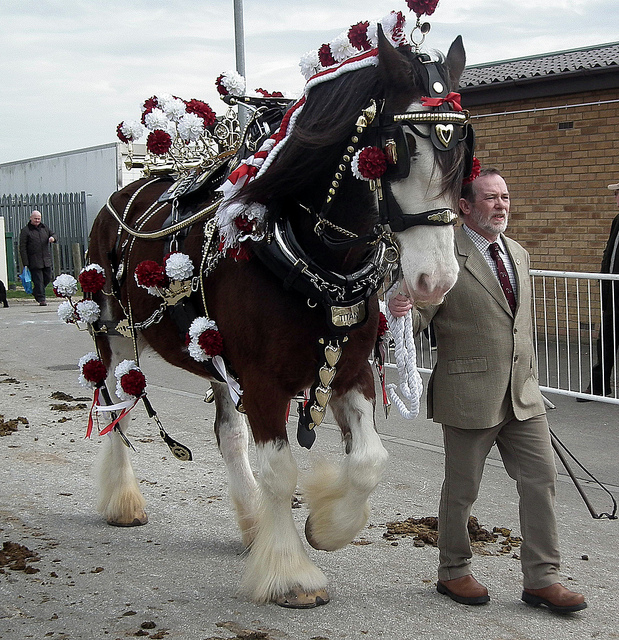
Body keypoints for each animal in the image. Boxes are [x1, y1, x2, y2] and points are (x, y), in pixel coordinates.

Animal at [87, 30, 472, 608]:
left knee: (227, 434)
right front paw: (292, 573)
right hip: (112, 331)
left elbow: (369, 461)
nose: (437, 278)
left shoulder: (348, 368)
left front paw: (326, 528)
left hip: (213, 353)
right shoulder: (264, 381)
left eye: (463, 147)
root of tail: (123, 193)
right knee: (117, 406)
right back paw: (123, 500)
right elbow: (280, 470)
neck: (308, 255)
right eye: (399, 151)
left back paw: (251, 524)